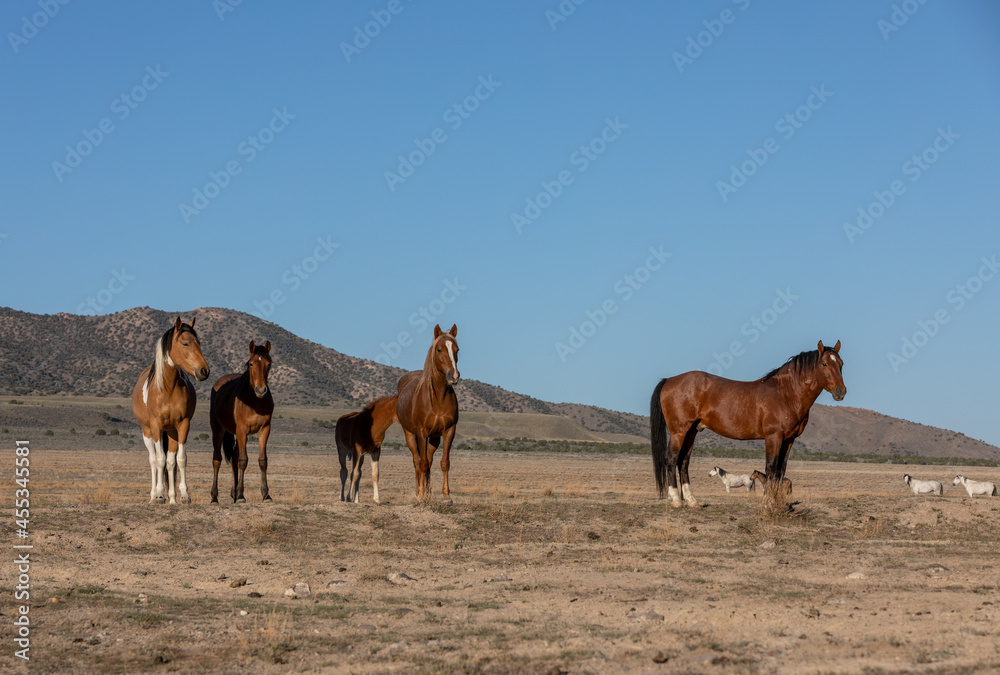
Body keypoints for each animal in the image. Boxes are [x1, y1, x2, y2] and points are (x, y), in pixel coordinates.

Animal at [130, 317, 210, 504]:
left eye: (199, 343)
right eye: (185, 343)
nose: (204, 371)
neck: (167, 388)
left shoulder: (182, 425)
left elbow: (179, 460)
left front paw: (183, 495)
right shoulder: (156, 426)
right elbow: (160, 460)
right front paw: (160, 494)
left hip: (171, 431)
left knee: (170, 461)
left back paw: (172, 497)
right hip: (147, 431)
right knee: (153, 460)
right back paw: (153, 495)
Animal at [210, 341, 274, 504]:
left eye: (268, 364)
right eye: (251, 364)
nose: (261, 390)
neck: (254, 401)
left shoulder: (264, 430)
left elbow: (262, 461)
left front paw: (266, 495)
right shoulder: (242, 430)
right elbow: (243, 461)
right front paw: (240, 496)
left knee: (233, 458)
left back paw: (233, 493)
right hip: (218, 430)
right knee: (217, 460)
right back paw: (214, 497)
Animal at [396, 324, 460, 503]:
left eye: (457, 350)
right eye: (439, 350)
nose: (454, 376)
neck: (438, 398)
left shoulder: (449, 431)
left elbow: (444, 462)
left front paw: (446, 496)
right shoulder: (421, 432)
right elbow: (422, 463)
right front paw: (421, 495)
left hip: (434, 437)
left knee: (429, 461)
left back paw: (427, 491)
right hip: (410, 434)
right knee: (418, 461)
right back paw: (420, 492)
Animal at [650, 340, 845, 507]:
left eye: (841, 364)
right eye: (824, 364)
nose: (841, 391)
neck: (785, 393)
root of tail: (669, 379)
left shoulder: (789, 440)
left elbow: (781, 471)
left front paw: (776, 502)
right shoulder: (773, 437)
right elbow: (771, 468)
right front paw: (768, 502)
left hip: (692, 431)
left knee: (683, 462)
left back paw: (692, 501)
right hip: (679, 431)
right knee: (671, 458)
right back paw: (676, 500)